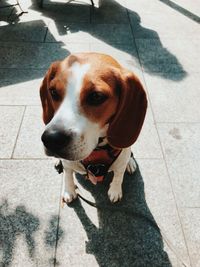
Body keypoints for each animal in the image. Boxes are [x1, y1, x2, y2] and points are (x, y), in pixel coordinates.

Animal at [40, 52, 147, 203]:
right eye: (53, 92)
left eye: (96, 96)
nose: (51, 139)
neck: (97, 150)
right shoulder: (68, 164)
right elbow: (68, 174)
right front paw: (69, 190)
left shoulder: (120, 161)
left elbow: (118, 175)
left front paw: (115, 190)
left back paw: (130, 163)